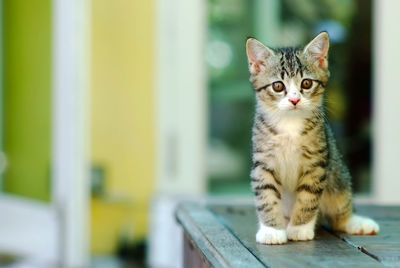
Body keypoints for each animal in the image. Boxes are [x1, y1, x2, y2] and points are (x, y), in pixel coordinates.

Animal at [245, 31, 380, 245]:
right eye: (278, 86)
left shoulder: (316, 163)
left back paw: (355, 222)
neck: (289, 124)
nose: (294, 99)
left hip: (338, 178)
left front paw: (299, 228)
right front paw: (271, 230)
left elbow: (308, 197)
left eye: (306, 83)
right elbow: (265, 195)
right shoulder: (263, 162)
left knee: (339, 214)